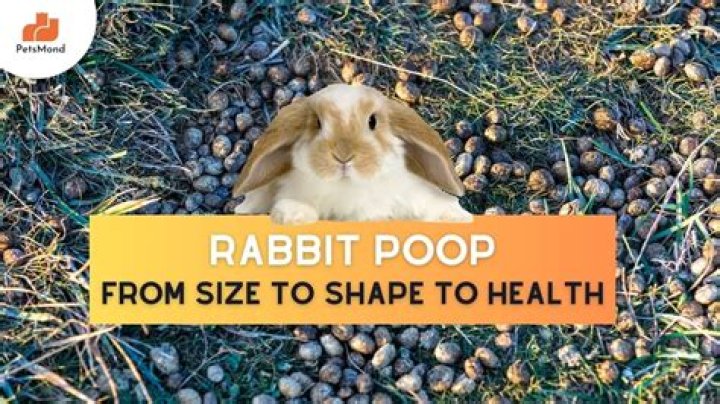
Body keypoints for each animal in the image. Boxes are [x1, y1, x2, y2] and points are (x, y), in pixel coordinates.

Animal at [232, 83, 472, 225]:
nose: (343, 156)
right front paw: (292, 215)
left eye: (373, 121)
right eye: (317, 123)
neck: (348, 188)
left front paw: (456, 218)